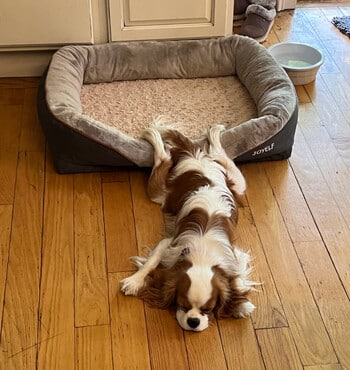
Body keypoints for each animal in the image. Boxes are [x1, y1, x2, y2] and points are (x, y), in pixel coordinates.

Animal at [121, 123, 258, 330]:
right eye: (182, 305)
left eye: (208, 309)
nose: (193, 322)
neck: (202, 254)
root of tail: (195, 156)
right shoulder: (171, 244)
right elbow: (151, 262)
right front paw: (134, 281)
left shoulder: (234, 256)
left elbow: (237, 279)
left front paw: (241, 304)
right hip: (159, 193)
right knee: (164, 158)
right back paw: (153, 134)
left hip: (238, 184)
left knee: (218, 153)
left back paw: (215, 132)